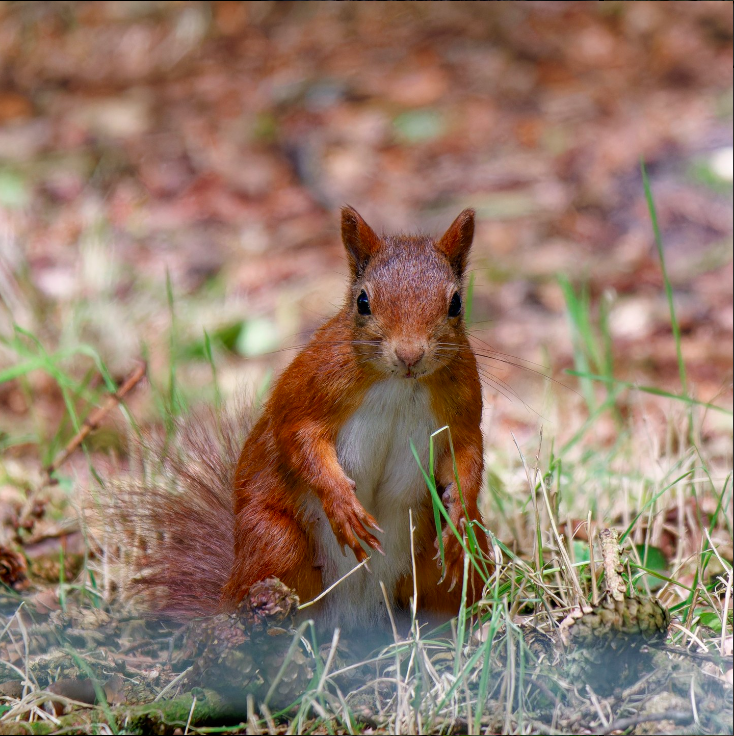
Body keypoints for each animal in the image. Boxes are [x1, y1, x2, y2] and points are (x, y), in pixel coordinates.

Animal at [119, 207, 488, 628]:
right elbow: (299, 437)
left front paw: (458, 515)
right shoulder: (311, 386)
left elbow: (467, 456)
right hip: (275, 540)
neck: (398, 383)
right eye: (362, 301)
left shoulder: (463, 409)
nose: (410, 355)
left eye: (456, 303)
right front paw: (342, 504)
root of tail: (355, 618)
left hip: (447, 563)